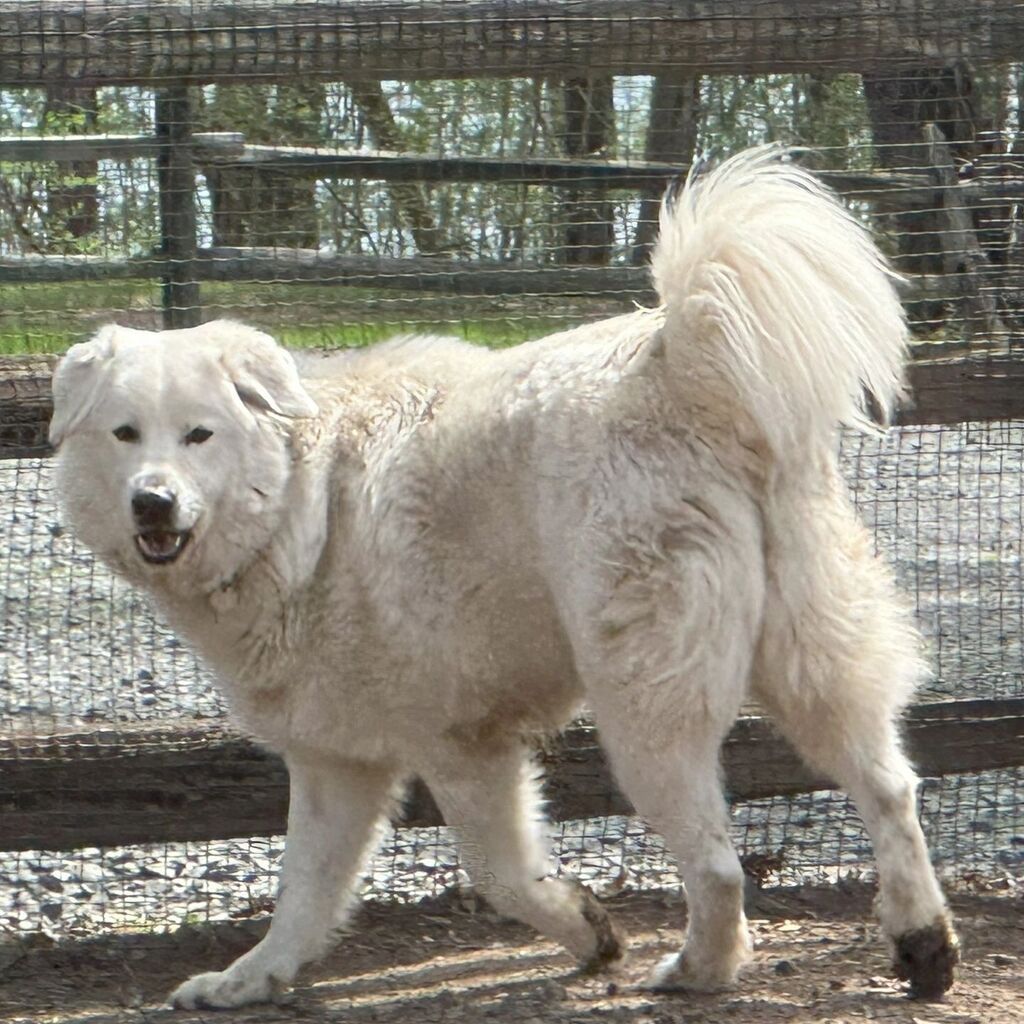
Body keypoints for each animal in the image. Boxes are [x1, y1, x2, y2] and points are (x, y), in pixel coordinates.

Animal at [49, 146, 958, 1007]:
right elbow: (302, 894)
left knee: (718, 864)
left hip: (645, 703)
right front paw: (250, 981)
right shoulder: (337, 762)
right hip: (813, 658)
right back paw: (924, 944)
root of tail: (681, 364)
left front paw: (589, 929)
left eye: (198, 435)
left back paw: (699, 969)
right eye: (126, 433)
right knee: (890, 791)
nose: (153, 503)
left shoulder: (460, 743)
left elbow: (499, 874)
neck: (301, 497)